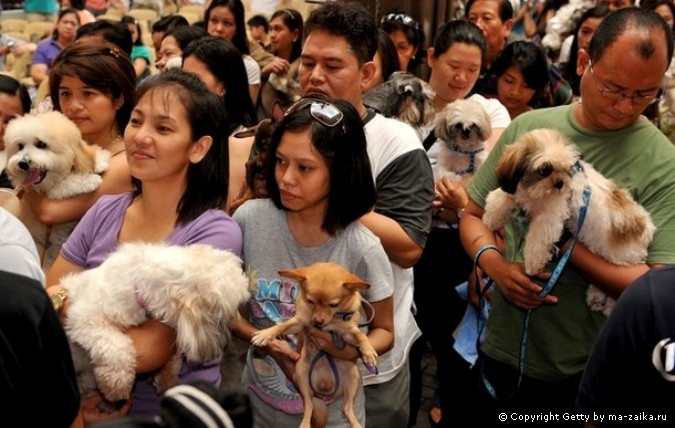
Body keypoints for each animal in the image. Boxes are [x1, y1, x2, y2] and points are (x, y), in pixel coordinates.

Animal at [1, 111, 109, 270]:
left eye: (41, 144)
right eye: (20, 146)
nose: (22, 163)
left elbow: (88, 150)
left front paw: (100, 160)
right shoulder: (46, 191)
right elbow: (66, 184)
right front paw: (90, 180)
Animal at [60, 242, 251, 402]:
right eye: (226, 314)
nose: (227, 343)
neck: (138, 287)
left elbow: (173, 357)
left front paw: (167, 378)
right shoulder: (83, 318)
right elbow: (117, 346)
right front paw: (117, 383)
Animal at [484, 129, 656, 316]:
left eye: (567, 169)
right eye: (545, 169)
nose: (560, 183)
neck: (535, 192)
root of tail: (645, 230)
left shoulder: (549, 216)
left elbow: (537, 240)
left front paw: (532, 264)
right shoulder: (518, 189)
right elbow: (504, 196)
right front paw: (492, 217)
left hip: (620, 260)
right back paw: (594, 297)